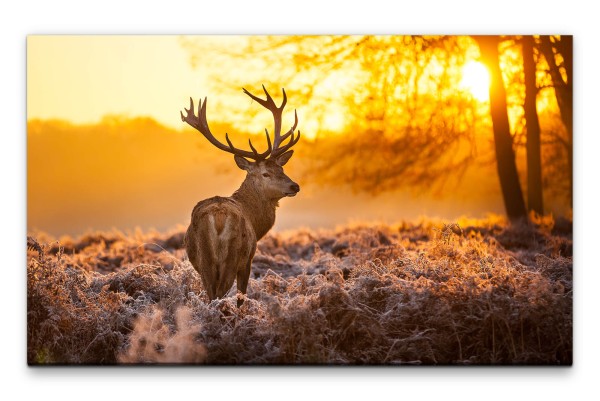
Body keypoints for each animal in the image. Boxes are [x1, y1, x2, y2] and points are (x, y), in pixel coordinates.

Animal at [178, 84, 300, 304]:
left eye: (282, 169)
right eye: (266, 173)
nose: (295, 186)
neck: (255, 221)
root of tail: (218, 217)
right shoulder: (248, 259)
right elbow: (242, 295)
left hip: (204, 260)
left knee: (211, 295)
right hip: (233, 256)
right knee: (220, 294)